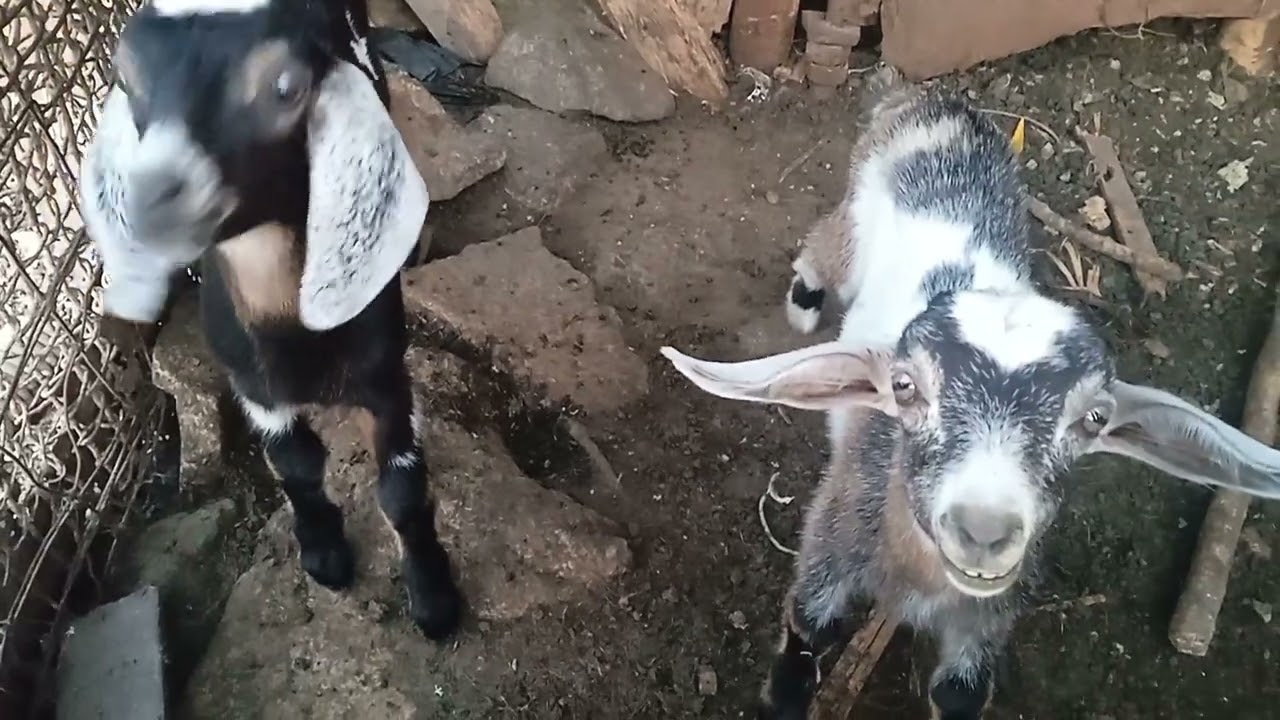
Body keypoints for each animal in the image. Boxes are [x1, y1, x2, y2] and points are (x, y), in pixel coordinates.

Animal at [78, 0, 462, 639]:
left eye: (286, 88)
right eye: (124, 76)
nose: (150, 200)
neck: (290, 332)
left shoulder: (389, 379)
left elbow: (403, 487)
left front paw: (434, 597)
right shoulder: (253, 385)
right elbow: (296, 464)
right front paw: (323, 552)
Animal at [661, 70, 1280, 720]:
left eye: (1094, 418)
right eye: (904, 388)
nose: (983, 532)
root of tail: (934, 103)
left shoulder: (988, 619)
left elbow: (958, 691)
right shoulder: (833, 534)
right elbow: (810, 626)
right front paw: (784, 695)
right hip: (856, 215)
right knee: (822, 250)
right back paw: (804, 305)